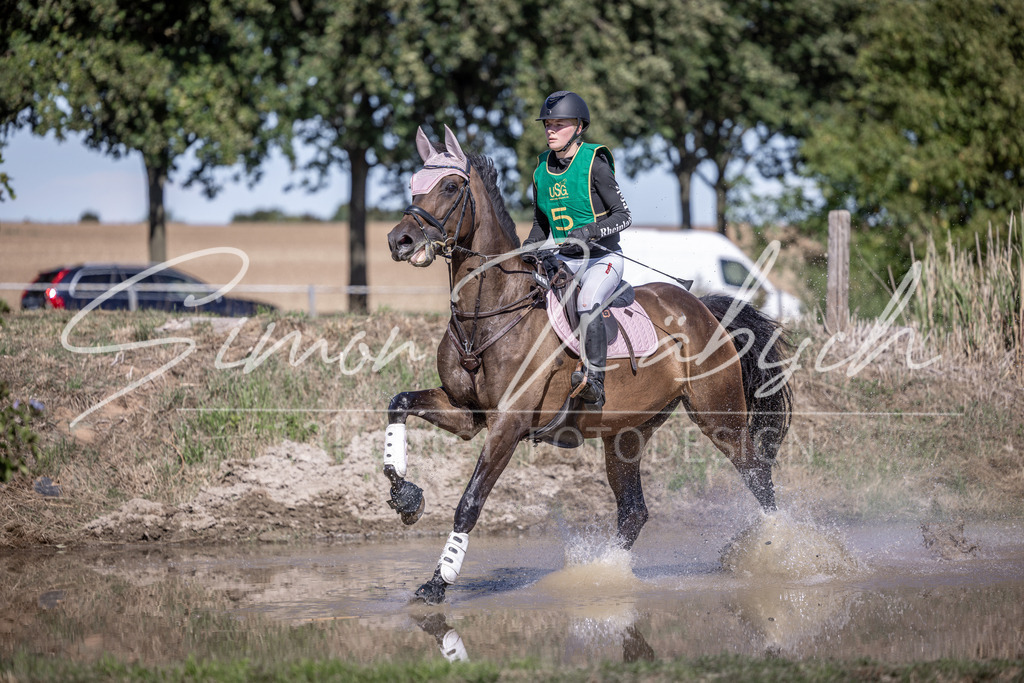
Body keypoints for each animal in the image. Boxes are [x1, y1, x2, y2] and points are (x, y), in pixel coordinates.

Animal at [384, 125, 793, 605]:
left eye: (450, 187)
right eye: (414, 184)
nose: (399, 241)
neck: (484, 318)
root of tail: (704, 309)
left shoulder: (508, 423)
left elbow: (469, 502)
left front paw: (437, 582)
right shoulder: (467, 414)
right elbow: (398, 403)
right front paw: (405, 495)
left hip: (719, 415)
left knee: (758, 477)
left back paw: (780, 549)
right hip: (627, 431)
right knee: (634, 511)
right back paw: (604, 574)